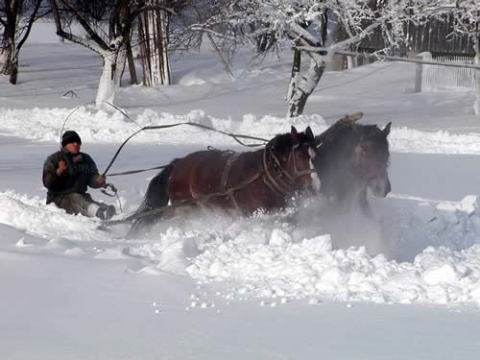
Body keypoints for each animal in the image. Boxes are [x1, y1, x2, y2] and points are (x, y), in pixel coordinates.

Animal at [130, 126, 318, 233]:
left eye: (315, 153)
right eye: (299, 156)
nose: (314, 186)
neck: (264, 175)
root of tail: (178, 164)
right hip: (186, 209)